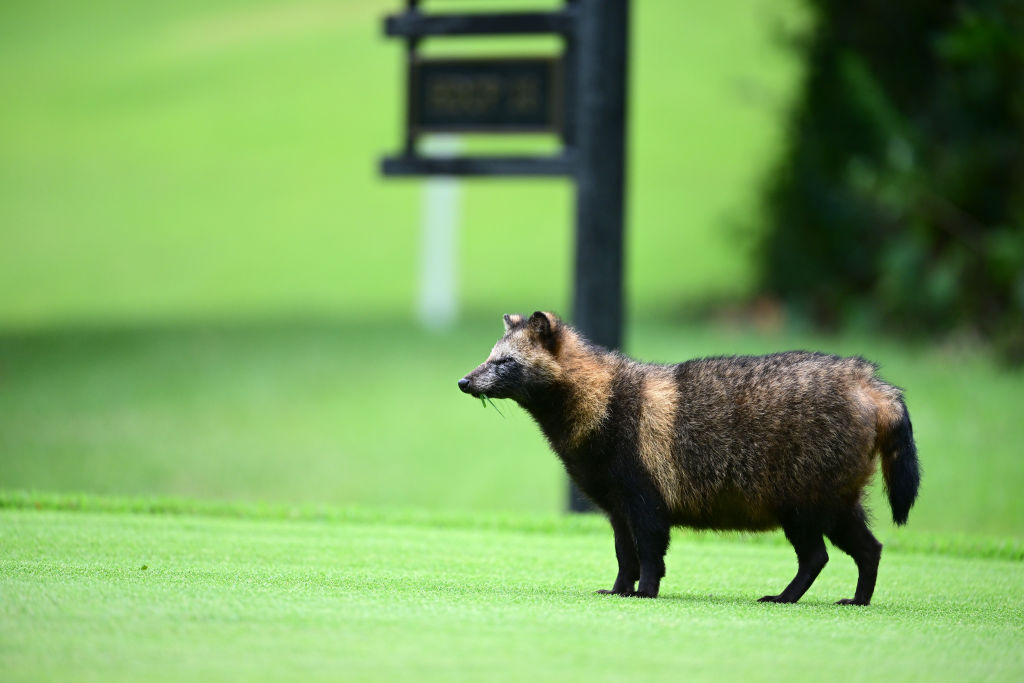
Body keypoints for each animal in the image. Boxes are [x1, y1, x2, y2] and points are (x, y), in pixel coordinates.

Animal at [456, 313, 921, 606]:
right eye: (488, 357)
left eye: (505, 362)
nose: (463, 381)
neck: (601, 393)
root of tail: (867, 381)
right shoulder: (615, 503)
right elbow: (623, 551)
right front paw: (621, 587)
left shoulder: (643, 488)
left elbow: (648, 548)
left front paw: (645, 590)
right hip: (836, 496)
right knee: (868, 547)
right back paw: (858, 597)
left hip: (803, 493)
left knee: (816, 556)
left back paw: (790, 595)